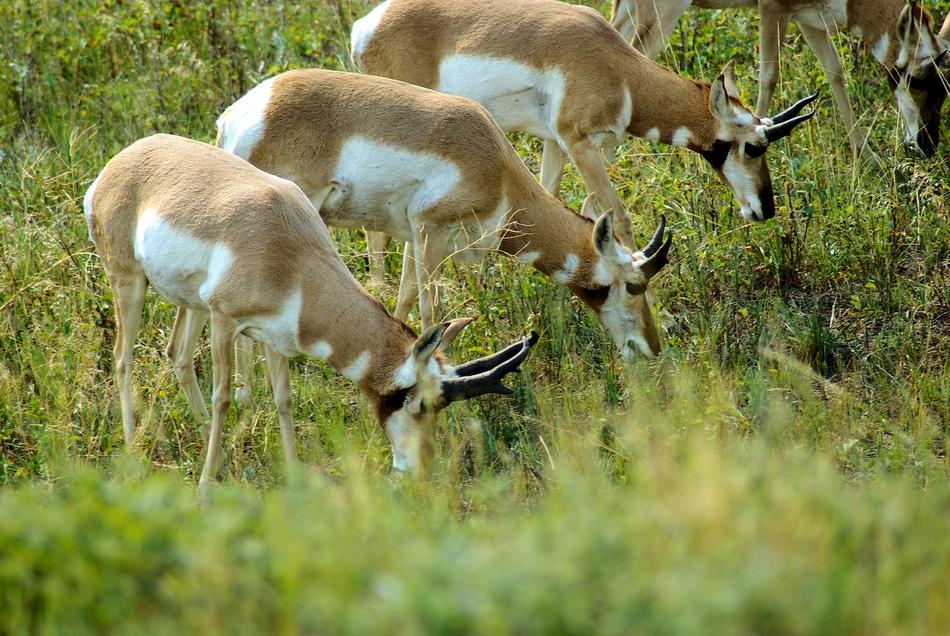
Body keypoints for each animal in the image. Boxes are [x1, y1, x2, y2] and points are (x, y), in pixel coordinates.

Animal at [84, 134, 536, 491]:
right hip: (130, 283)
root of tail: (119, 163)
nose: (420, 471)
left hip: (190, 304)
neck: (288, 249)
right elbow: (224, 397)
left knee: (177, 355)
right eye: (421, 404)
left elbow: (283, 399)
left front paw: (294, 475)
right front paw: (205, 488)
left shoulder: (275, 338)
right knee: (123, 359)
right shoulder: (227, 322)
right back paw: (134, 451)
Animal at [212, 69, 674, 373]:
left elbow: (402, 299)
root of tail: (239, 114)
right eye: (634, 285)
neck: (496, 166)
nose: (653, 347)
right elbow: (431, 309)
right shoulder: (431, 232)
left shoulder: (412, 238)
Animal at [351, 0, 818, 246]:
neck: (618, 68)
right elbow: (620, 216)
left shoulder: (555, 144)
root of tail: (367, 25)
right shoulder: (581, 146)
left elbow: (548, 201)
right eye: (753, 146)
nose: (765, 209)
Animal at [611, 0, 950, 156]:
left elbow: (835, 71)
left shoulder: (809, 20)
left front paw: (866, 155)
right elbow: (769, 75)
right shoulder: (772, 10)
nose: (928, 146)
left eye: (944, 89)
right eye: (918, 79)